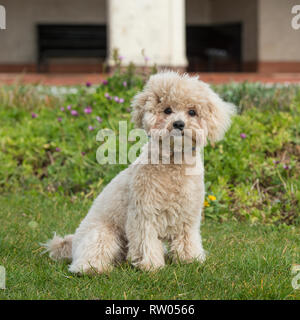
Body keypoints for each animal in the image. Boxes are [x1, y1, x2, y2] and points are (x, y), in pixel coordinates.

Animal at [45, 71, 237, 274]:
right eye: (167, 110)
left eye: (192, 111)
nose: (178, 124)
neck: (173, 163)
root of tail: (72, 242)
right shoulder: (144, 214)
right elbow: (146, 241)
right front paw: (150, 265)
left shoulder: (188, 216)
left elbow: (188, 239)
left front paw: (190, 259)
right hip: (103, 234)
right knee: (90, 254)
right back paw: (92, 268)